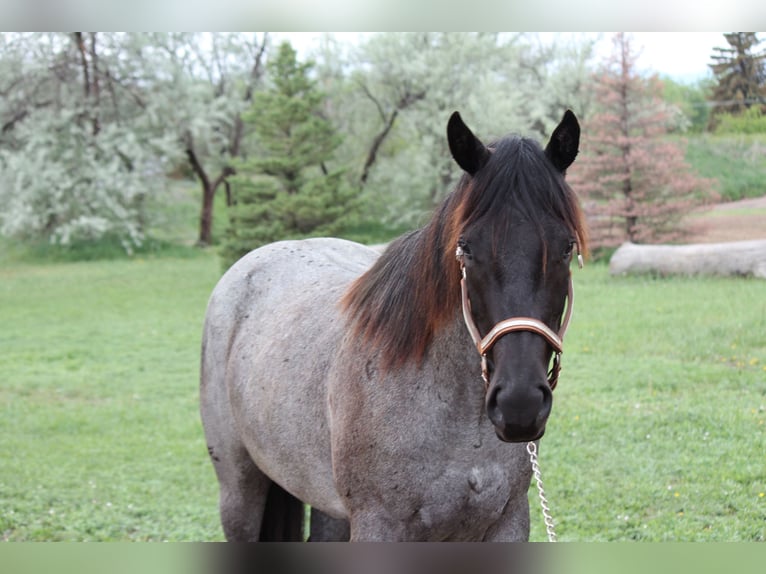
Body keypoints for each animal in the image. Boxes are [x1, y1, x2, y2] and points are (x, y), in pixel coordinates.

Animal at [200, 109, 588, 541]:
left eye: (566, 247)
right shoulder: (378, 525)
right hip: (240, 493)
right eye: (466, 248)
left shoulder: (508, 522)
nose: (519, 403)